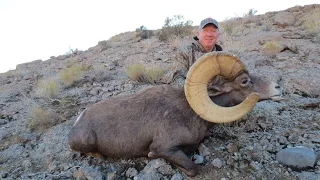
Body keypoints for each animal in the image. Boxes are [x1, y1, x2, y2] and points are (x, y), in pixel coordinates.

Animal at [69, 51, 282, 176]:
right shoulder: (164, 148)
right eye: (245, 81)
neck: (191, 113)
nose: (278, 87)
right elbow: (193, 168)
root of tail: (78, 122)